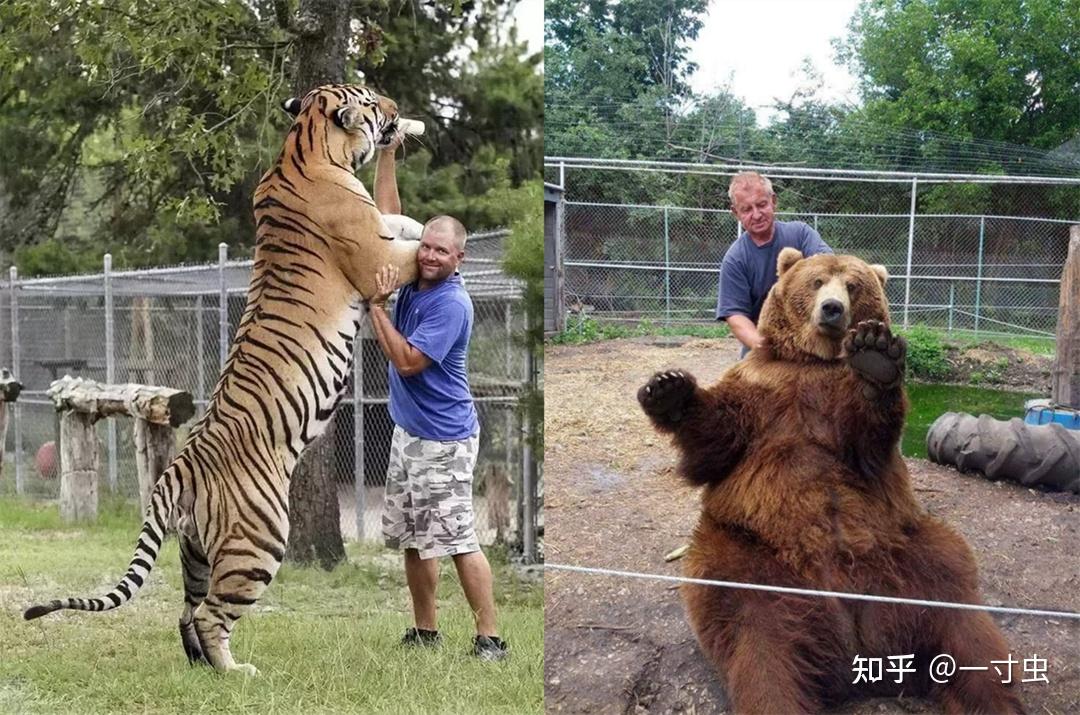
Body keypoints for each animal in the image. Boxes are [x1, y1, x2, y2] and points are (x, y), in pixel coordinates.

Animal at [24, 84, 421, 678]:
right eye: (373, 100)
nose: (397, 110)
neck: (305, 146)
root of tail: (176, 470)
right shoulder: (376, 259)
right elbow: (411, 249)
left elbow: (401, 223)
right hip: (259, 542)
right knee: (212, 614)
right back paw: (236, 673)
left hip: (196, 552)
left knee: (187, 611)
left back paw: (202, 670)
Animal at [635, 249, 1023, 712]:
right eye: (817, 281)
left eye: (852, 285)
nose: (833, 309)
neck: (815, 360)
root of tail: (859, 642)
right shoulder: (762, 392)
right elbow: (716, 442)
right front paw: (668, 390)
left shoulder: (839, 407)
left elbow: (864, 441)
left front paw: (875, 355)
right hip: (749, 556)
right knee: (758, 637)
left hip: (913, 549)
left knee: (963, 620)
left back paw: (995, 699)